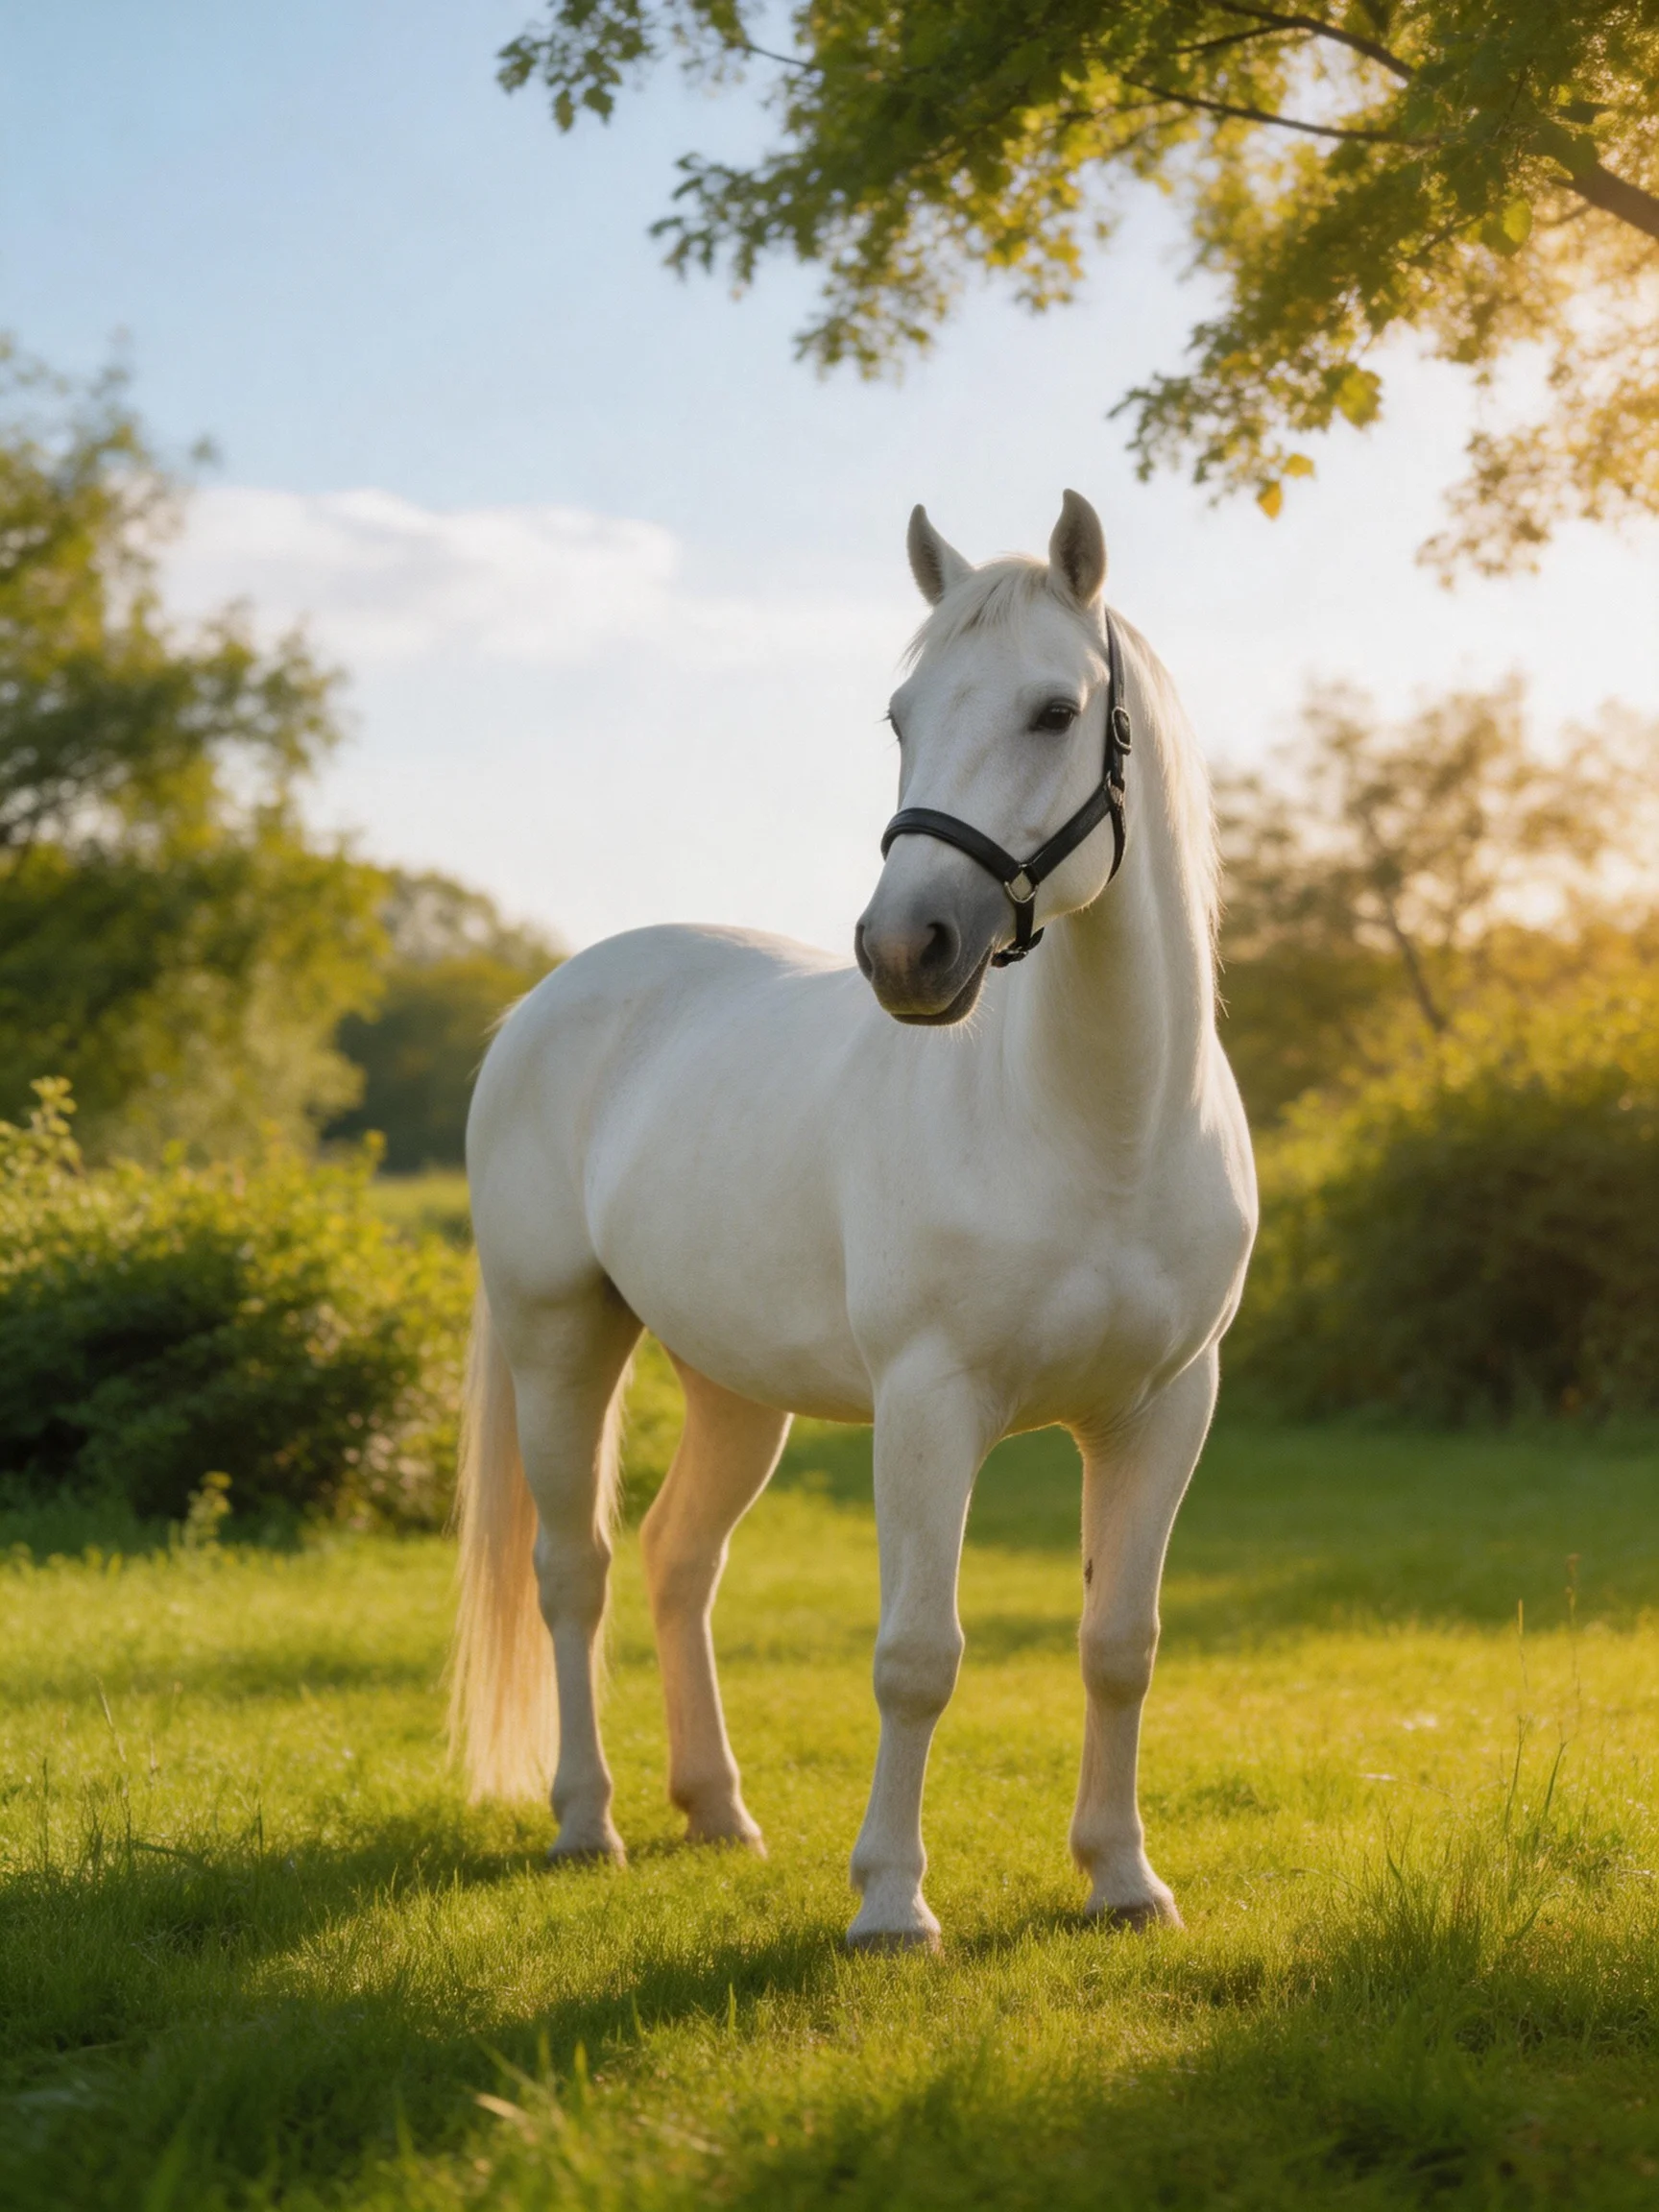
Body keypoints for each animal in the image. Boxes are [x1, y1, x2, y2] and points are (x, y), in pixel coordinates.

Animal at [449, 490, 1256, 1949]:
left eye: (1056, 711)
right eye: (900, 716)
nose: (905, 950)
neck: (1098, 1128)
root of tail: (552, 998)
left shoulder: (1165, 1410)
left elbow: (1120, 1647)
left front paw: (1123, 1879)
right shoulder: (932, 1405)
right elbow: (917, 1656)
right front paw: (891, 1903)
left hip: (731, 1385)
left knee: (678, 1561)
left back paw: (717, 1809)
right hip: (559, 1342)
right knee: (573, 1570)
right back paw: (588, 1823)